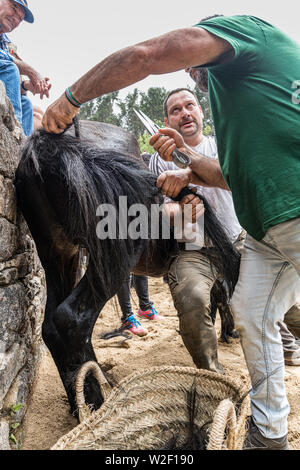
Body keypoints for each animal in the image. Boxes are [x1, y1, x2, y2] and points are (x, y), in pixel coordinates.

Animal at [14, 121, 240, 414]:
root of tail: (50, 145)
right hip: (114, 257)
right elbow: (222, 296)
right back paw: (95, 403)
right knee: (70, 320)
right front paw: (227, 332)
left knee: (51, 324)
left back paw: (82, 398)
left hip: (60, 252)